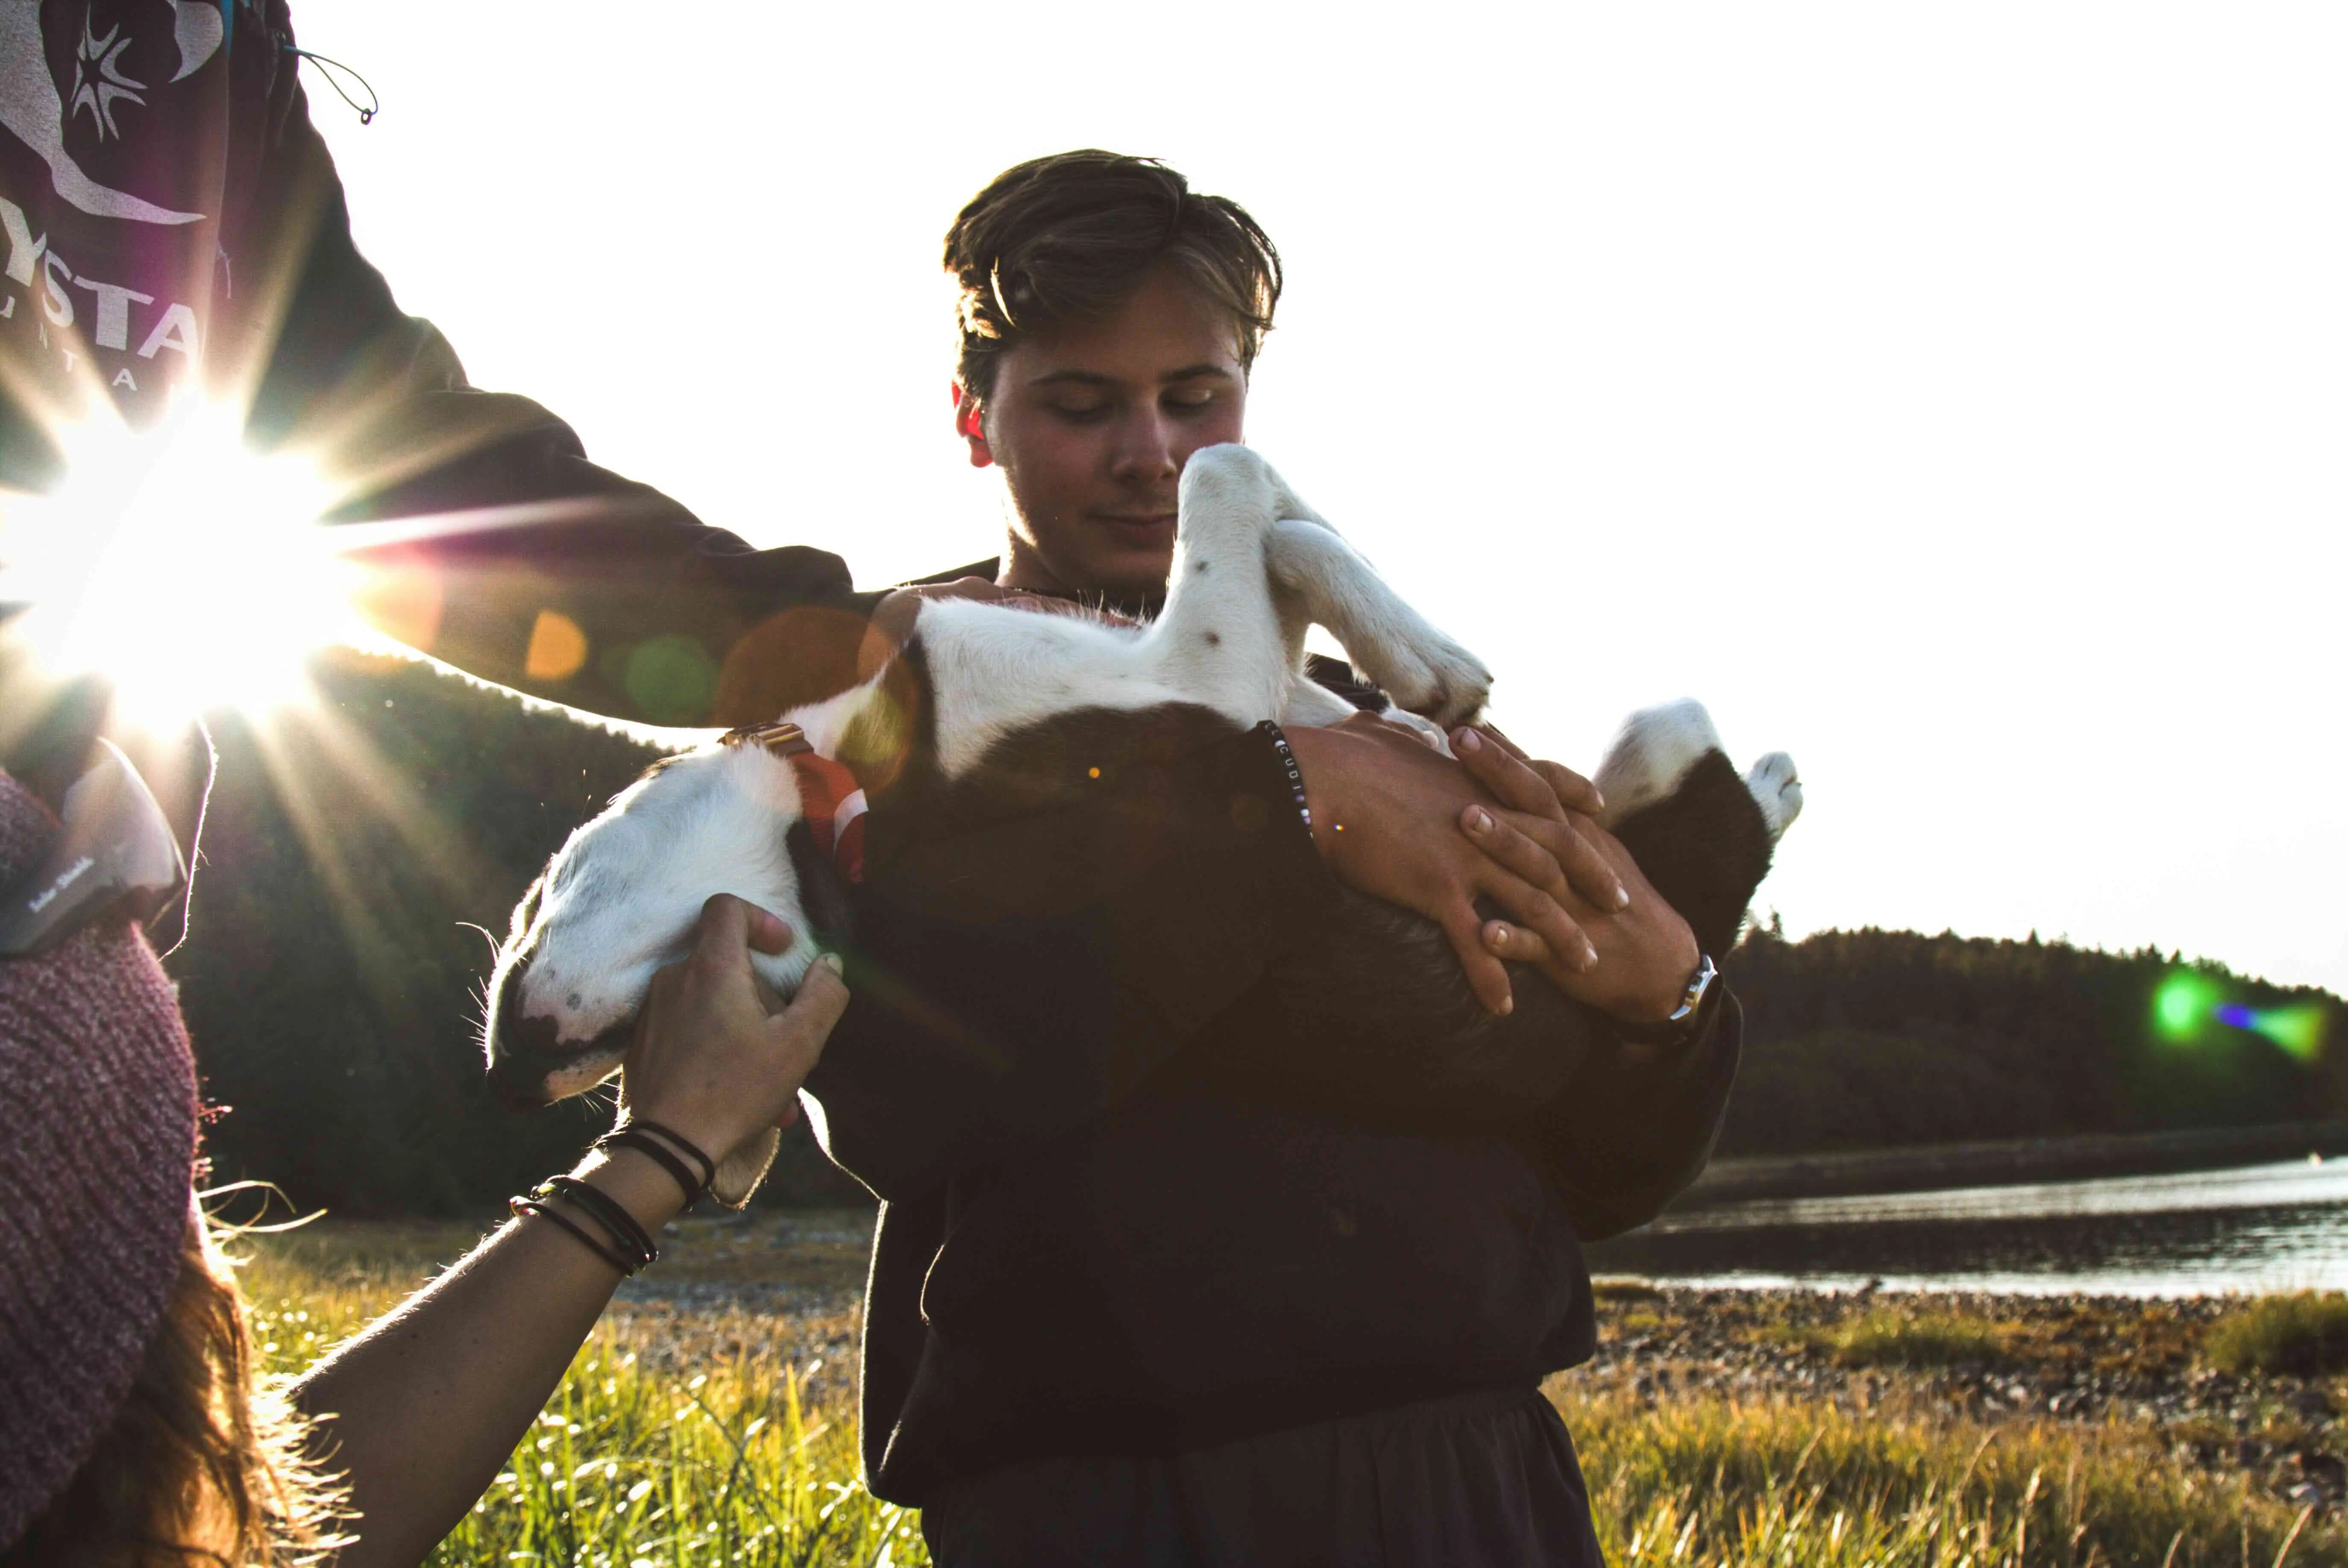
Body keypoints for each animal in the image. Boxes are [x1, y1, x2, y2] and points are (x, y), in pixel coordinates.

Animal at [476, 446, 1793, 1211]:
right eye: (676, 1014)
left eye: (537, 889)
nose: (507, 1077)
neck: (855, 789)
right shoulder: (1205, 676)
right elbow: (1226, 469)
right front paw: (1421, 656)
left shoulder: (1244, 662)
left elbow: (1287, 535)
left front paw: (1408, 651)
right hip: (1667, 752)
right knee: (1717, 785)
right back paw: (1772, 777)